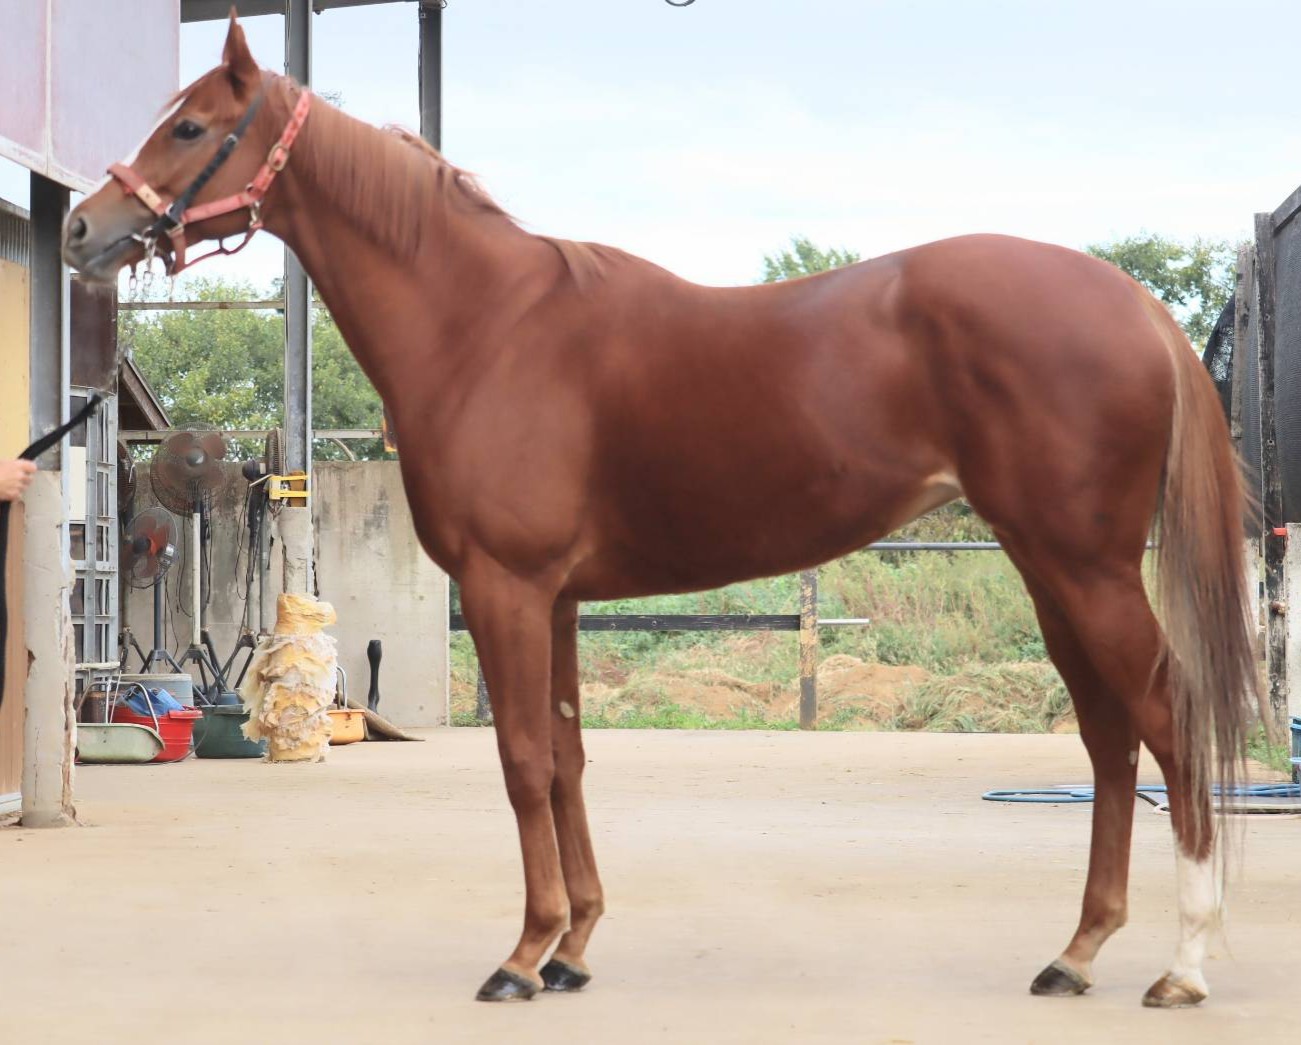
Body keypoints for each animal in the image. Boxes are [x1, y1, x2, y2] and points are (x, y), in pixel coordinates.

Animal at [63, 14, 1258, 1009]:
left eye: (190, 126)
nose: (82, 227)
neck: (484, 325)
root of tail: (1133, 304)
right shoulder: (553, 599)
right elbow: (567, 753)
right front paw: (574, 947)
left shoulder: (505, 588)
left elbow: (523, 760)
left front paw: (520, 956)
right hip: (1050, 566)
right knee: (1108, 735)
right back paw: (1076, 952)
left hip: (1081, 566)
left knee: (1164, 717)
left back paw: (1184, 965)